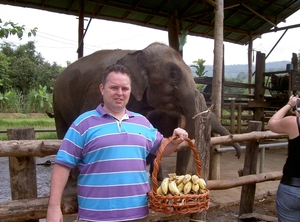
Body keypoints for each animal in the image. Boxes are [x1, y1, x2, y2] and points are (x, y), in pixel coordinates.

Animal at [52, 43, 241, 179]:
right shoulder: (95, 92)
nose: (238, 157)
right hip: (57, 101)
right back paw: (72, 178)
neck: (138, 52)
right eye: (174, 74)